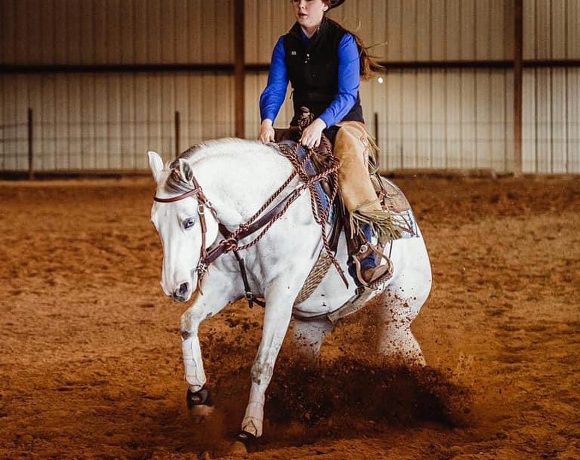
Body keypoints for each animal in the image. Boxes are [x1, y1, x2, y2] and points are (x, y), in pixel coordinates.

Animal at [147, 138, 432, 441]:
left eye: (189, 221)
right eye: (155, 223)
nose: (175, 287)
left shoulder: (280, 296)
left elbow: (263, 364)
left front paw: (250, 427)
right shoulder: (224, 285)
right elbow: (188, 323)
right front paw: (199, 396)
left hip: (397, 310)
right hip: (313, 328)